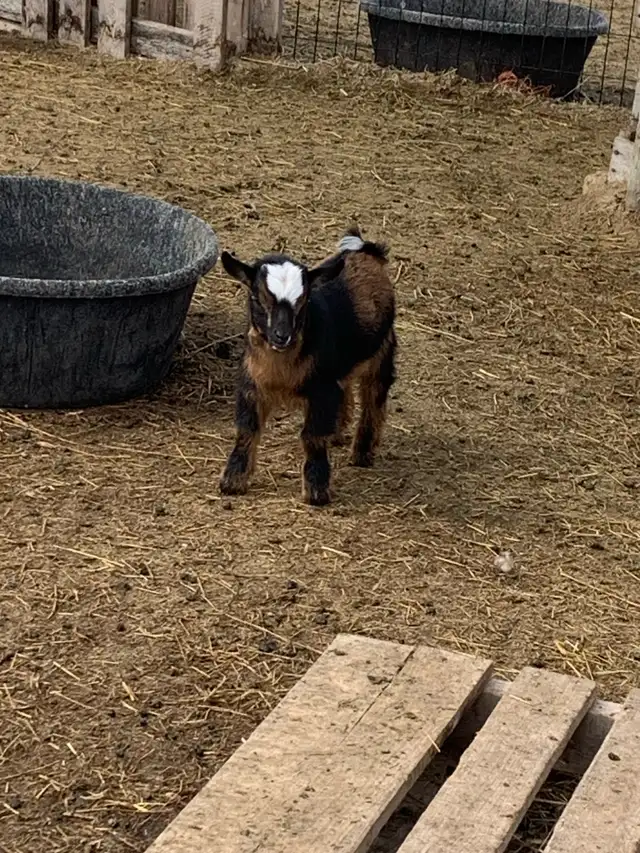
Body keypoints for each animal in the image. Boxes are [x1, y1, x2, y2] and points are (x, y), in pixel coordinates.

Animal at [218, 227, 397, 506]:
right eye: (257, 298)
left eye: (303, 300)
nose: (282, 336)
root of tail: (365, 251)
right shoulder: (252, 385)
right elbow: (247, 430)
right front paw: (232, 482)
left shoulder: (321, 391)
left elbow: (312, 437)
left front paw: (316, 491)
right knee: (347, 390)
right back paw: (338, 434)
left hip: (382, 350)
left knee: (373, 399)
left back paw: (362, 454)